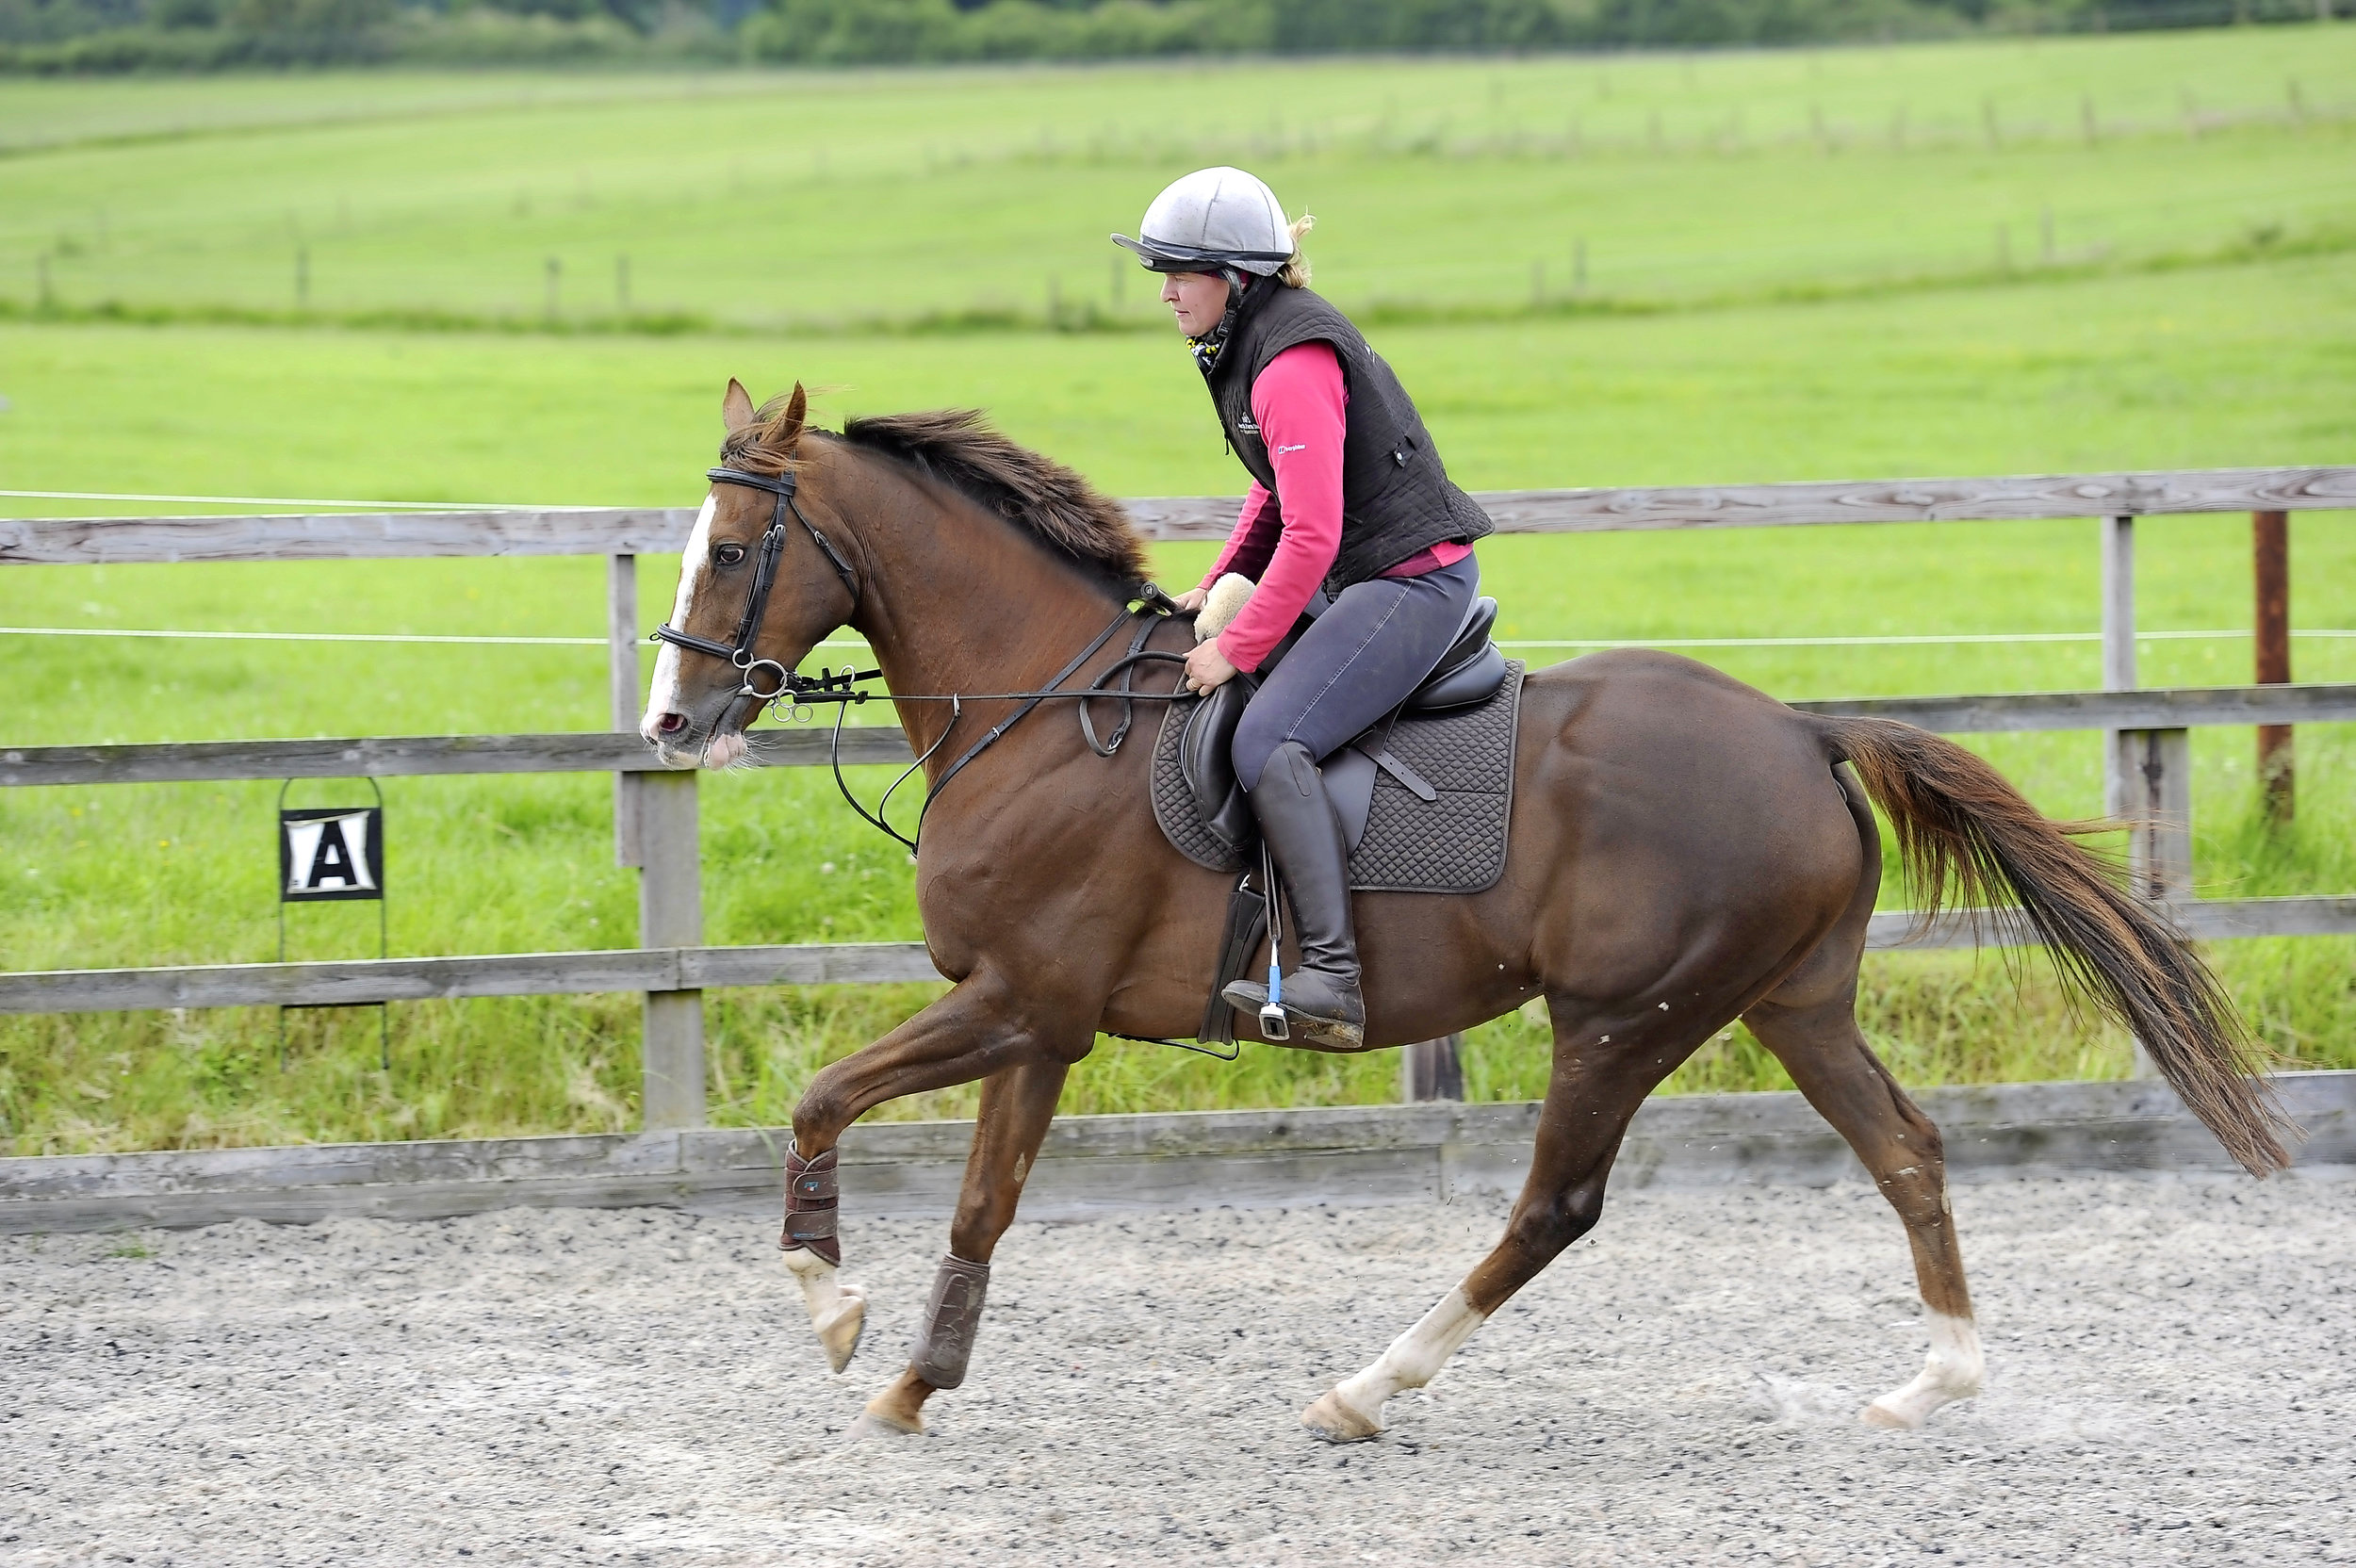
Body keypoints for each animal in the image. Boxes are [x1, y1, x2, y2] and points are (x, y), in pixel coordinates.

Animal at [639, 379, 2288, 1444]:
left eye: (735, 548)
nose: (669, 722)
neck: (1047, 713)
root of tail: (1800, 732)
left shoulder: (1012, 1004)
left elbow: (819, 1097)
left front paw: (831, 1305)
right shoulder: (1037, 1025)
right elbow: (980, 1206)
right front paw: (915, 1380)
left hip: (1626, 1016)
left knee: (1555, 1206)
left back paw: (1366, 1390)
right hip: (1791, 1001)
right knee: (1907, 1150)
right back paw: (1935, 1382)